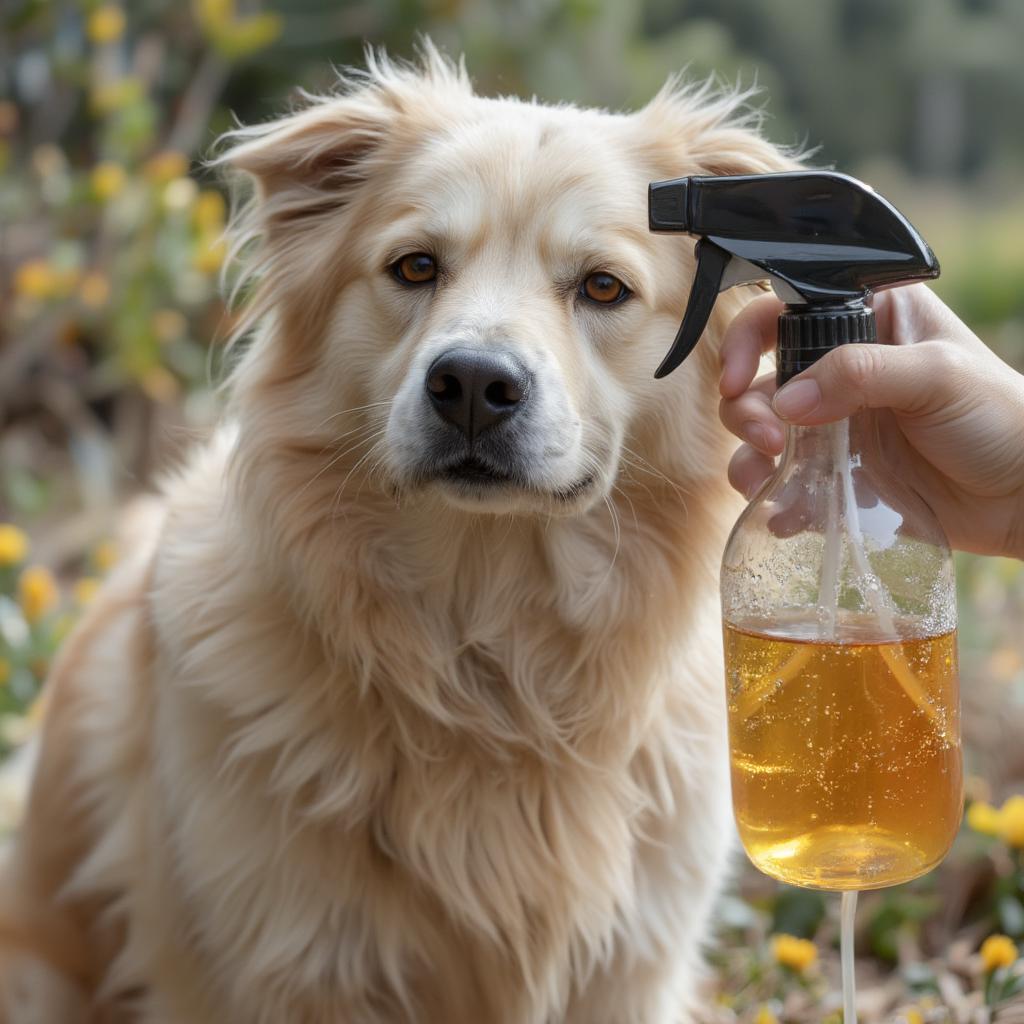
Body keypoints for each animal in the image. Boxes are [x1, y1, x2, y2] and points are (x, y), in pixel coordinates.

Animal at [0, 44, 790, 1019]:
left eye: (604, 286)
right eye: (415, 268)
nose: (474, 385)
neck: (488, 658)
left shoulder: (631, 972)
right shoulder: (280, 967)